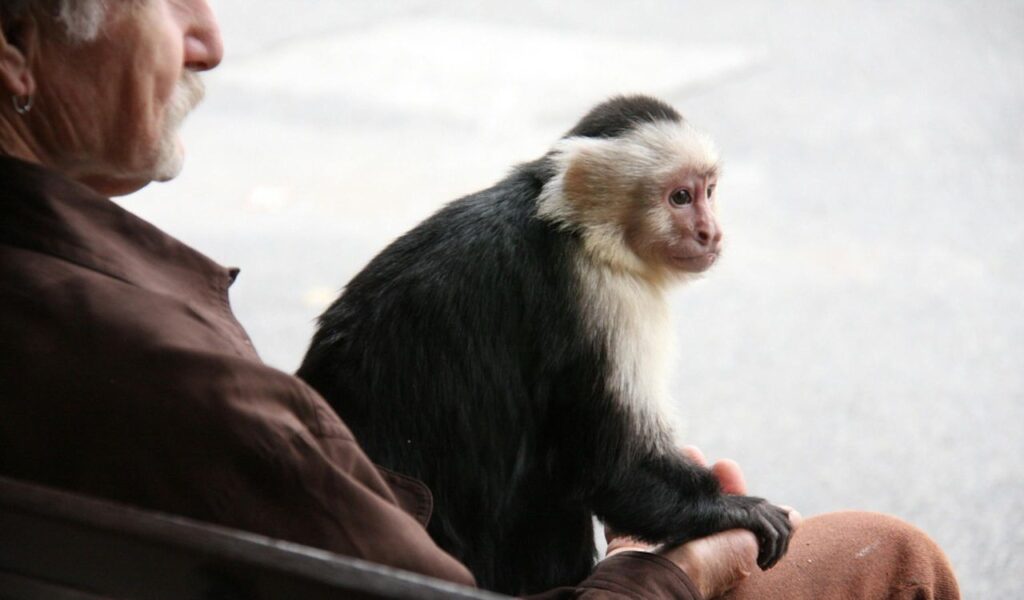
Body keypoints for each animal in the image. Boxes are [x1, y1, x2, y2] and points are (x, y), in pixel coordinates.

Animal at [297, 95, 793, 595]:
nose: (711, 233)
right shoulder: (604, 293)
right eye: (679, 198)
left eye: (709, 191)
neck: (574, 227)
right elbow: (610, 468)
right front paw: (731, 511)